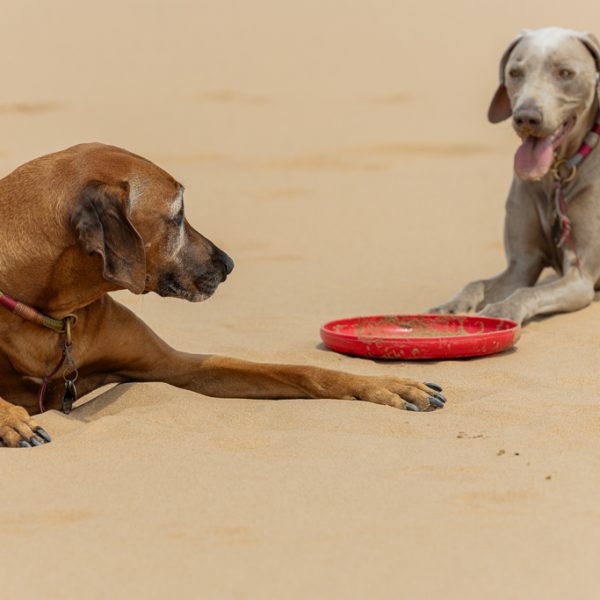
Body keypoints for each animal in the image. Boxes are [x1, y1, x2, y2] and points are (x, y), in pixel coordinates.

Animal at [0, 143, 446, 448]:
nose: (228, 264)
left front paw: (387, 384)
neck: (54, 313)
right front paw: (10, 419)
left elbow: (300, 371)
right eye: (178, 215)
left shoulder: (175, 366)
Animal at [432, 28, 600, 326]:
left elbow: (527, 292)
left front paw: (502, 310)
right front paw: (451, 305)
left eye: (565, 73)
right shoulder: (522, 264)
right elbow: (476, 283)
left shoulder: (580, 277)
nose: (526, 118)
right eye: (515, 72)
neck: (556, 176)